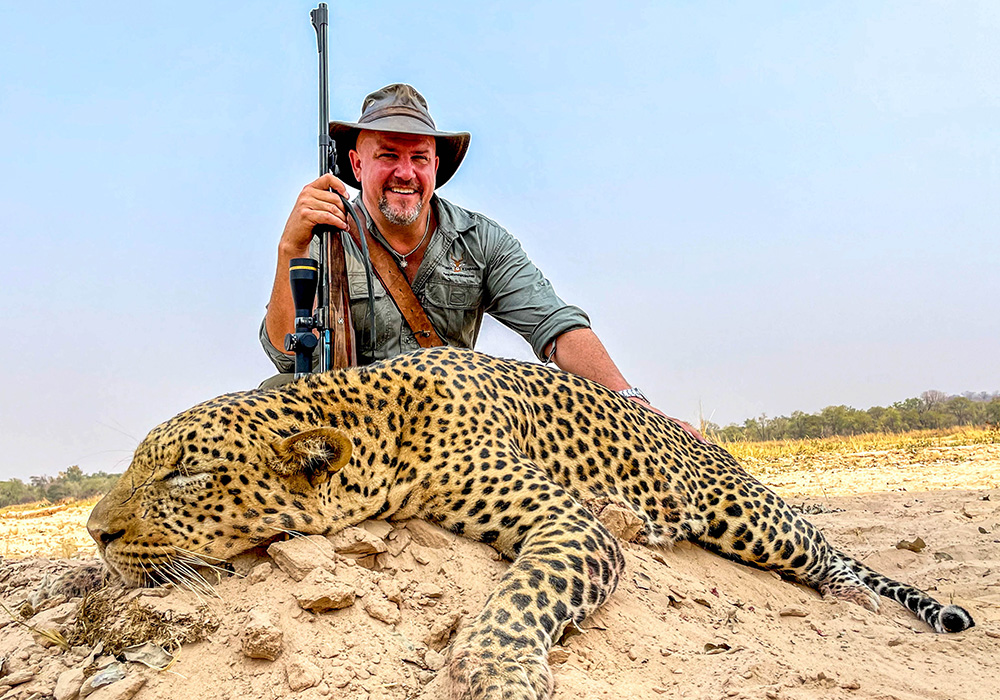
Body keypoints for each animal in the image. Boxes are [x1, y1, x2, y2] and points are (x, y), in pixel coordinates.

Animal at [88, 346, 976, 700]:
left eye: (183, 473)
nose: (94, 532)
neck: (376, 426)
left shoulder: (567, 524)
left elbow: (513, 608)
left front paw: (502, 677)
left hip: (749, 516)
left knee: (831, 553)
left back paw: (861, 597)